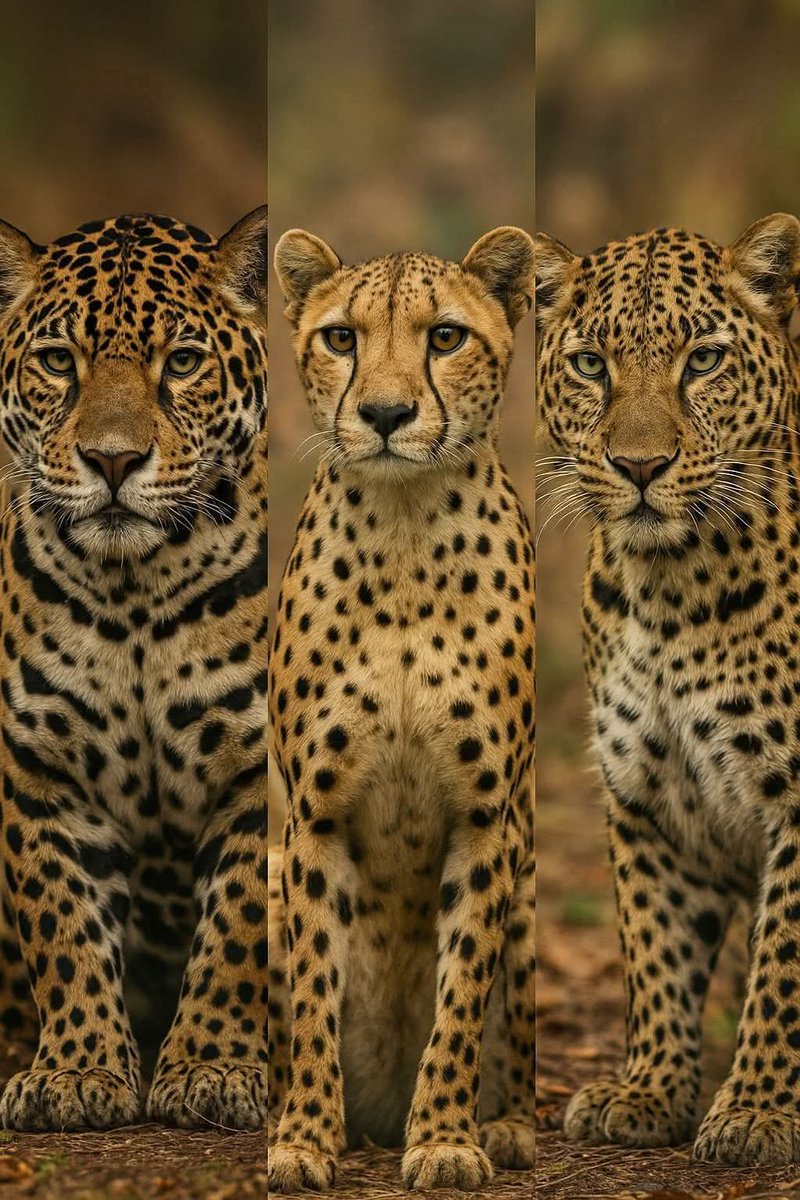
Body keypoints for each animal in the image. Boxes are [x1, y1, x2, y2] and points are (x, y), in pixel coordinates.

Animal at [0, 206, 268, 1132]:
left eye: (180, 362)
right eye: (58, 362)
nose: (113, 461)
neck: (133, 598)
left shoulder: (256, 776)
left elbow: (236, 927)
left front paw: (213, 1066)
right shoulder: (39, 776)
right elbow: (63, 926)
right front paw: (75, 1070)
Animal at [267, 227, 536, 1191]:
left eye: (445, 337)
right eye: (342, 338)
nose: (385, 413)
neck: (407, 532)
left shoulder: (489, 823)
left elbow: (460, 1001)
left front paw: (449, 1138)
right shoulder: (313, 824)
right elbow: (314, 990)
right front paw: (305, 1137)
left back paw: (508, 1126)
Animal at [535, 212, 800, 1166]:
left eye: (704, 360)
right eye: (591, 364)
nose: (639, 466)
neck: (671, 589)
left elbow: (781, 966)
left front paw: (757, 1112)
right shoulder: (649, 797)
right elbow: (653, 952)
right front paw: (647, 1093)